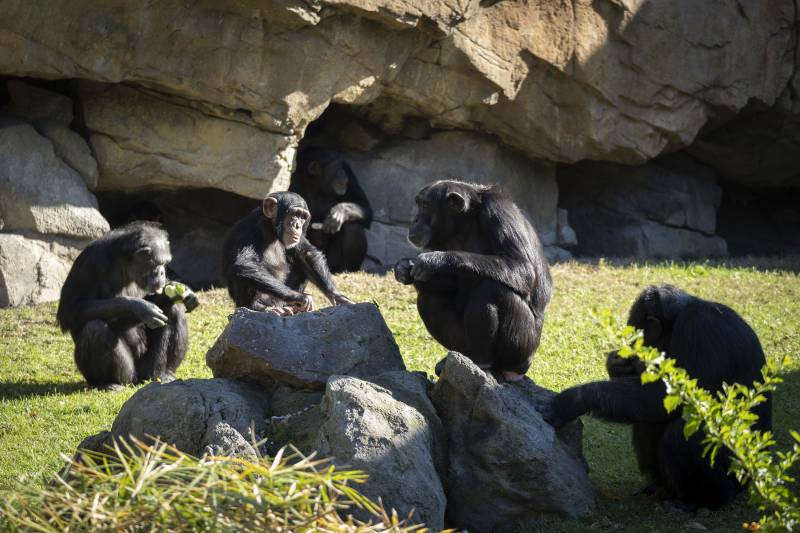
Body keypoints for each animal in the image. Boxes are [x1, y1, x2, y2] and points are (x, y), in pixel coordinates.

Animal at [56, 221, 198, 390]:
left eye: (165, 263)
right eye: (157, 263)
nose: (162, 272)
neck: (126, 264)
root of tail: (138, 380)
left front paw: (181, 290)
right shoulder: (90, 261)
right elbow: (71, 309)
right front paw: (141, 308)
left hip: (148, 369)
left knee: (175, 310)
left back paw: (165, 374)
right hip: (128, 373)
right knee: (94, 328)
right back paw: (107, 383)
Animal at [220, 191, 354, 316]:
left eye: (303, 217)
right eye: (295, 214)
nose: (298, 225)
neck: (271, 229)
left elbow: (306, 254)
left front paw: (337, 296)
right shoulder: (248, 229)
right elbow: (244, 262)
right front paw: (300, 297)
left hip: (280, 301)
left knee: (302, 268)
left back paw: (293, 308)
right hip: (260, 301)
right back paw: (258, 307)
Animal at [392, 181, 552, 380]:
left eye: (425, 206)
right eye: (419, 204)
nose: (414, 220)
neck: (464, 224)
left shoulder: (499, 212)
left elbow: (522, 267)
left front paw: (432, 260)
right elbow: (449, 283)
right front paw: (405, 267)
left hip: (521, 349)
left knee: (491, 288)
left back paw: (481, 360)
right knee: (429, 297)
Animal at [548, 284, 772, 510]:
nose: (633, 350)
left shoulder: (699, 331)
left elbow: (667, 398)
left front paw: (573, 399)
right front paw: (617, 365)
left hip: (736, 475)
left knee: (680, 433)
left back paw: (699, 500)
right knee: (646, 421)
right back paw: (661, 489)